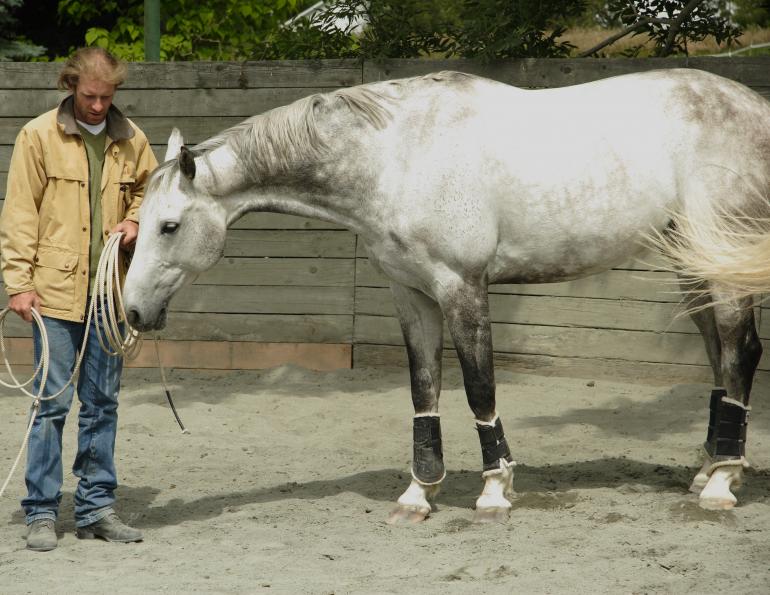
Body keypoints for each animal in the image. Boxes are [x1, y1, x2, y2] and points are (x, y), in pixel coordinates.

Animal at [123, 68, 770, 522]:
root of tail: (757, 107)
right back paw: (714, 468)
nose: (132, 311)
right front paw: (418, 493)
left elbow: (479, 385)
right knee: (720, 357)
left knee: (741, 354)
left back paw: (719, 486)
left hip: (723, 261)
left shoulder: (462, 286)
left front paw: (494, 490)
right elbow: (424, 388)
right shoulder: (410, 294)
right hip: (694, 264)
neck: (395, 157)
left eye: (169, 226)